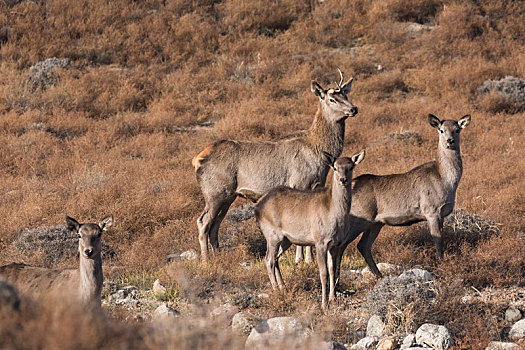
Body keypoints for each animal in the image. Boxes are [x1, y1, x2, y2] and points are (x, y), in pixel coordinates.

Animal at [190, 69, 358, 262]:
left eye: (346, 94)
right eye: (332, 99)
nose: (353, 108)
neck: (318, 150)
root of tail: (197, 160)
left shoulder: (317, 183)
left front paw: (307, 258)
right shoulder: (299, 182)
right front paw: (302, 260)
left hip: (228, 195)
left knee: (215, 224)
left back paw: (218, 256)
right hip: (214, 192)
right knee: (203, 222)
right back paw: (206, 261)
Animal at [254, 152, 364, 310]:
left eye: (350, 167)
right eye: (335, 168)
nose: (343, 180)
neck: (334, 215)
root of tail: (257, 208)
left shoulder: (336, 243)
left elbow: (333, 270)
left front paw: (333, 299)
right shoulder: (320, 241)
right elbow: (323, 273)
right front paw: (324, 304)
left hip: (286, 240)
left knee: (275, 259)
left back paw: (283, 288)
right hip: (271, 234)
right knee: (268, 259)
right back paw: (276, 291)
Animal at [336, 115, 470, 278]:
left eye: (457, 130)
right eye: (441, 130)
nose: (450, 141)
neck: (446, 181)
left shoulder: (442, 214)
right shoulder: (431, 211)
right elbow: (438, 242)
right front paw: (442, 267)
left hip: (375, 223)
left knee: (363, 246)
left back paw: (379, 276)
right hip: (359, 218)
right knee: (341, 245)